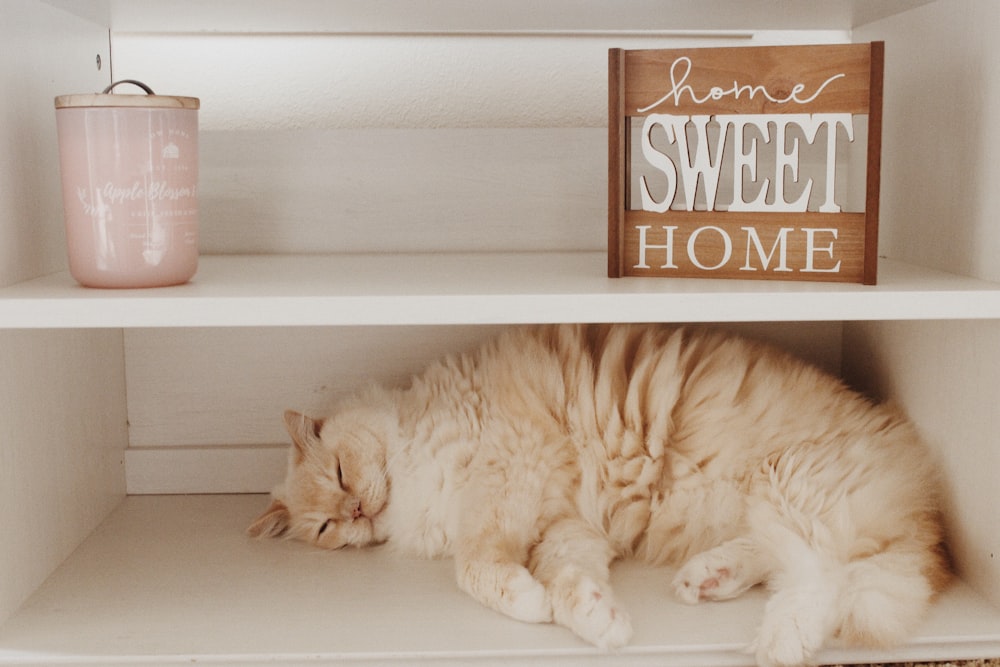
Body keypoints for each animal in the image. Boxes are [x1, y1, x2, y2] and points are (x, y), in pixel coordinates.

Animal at [246, 320, 948, 664]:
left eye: (340, 473)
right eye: (326, 528)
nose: (357, 509)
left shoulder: (512, 470)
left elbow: (476, 568)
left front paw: (531, 602)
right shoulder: (566, 528)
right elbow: (568, 582)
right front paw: (596, 620)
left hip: (790, 486)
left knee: (823, 581)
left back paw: (777, 646)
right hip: (776, 507)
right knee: (793, 565)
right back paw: (709, 578)